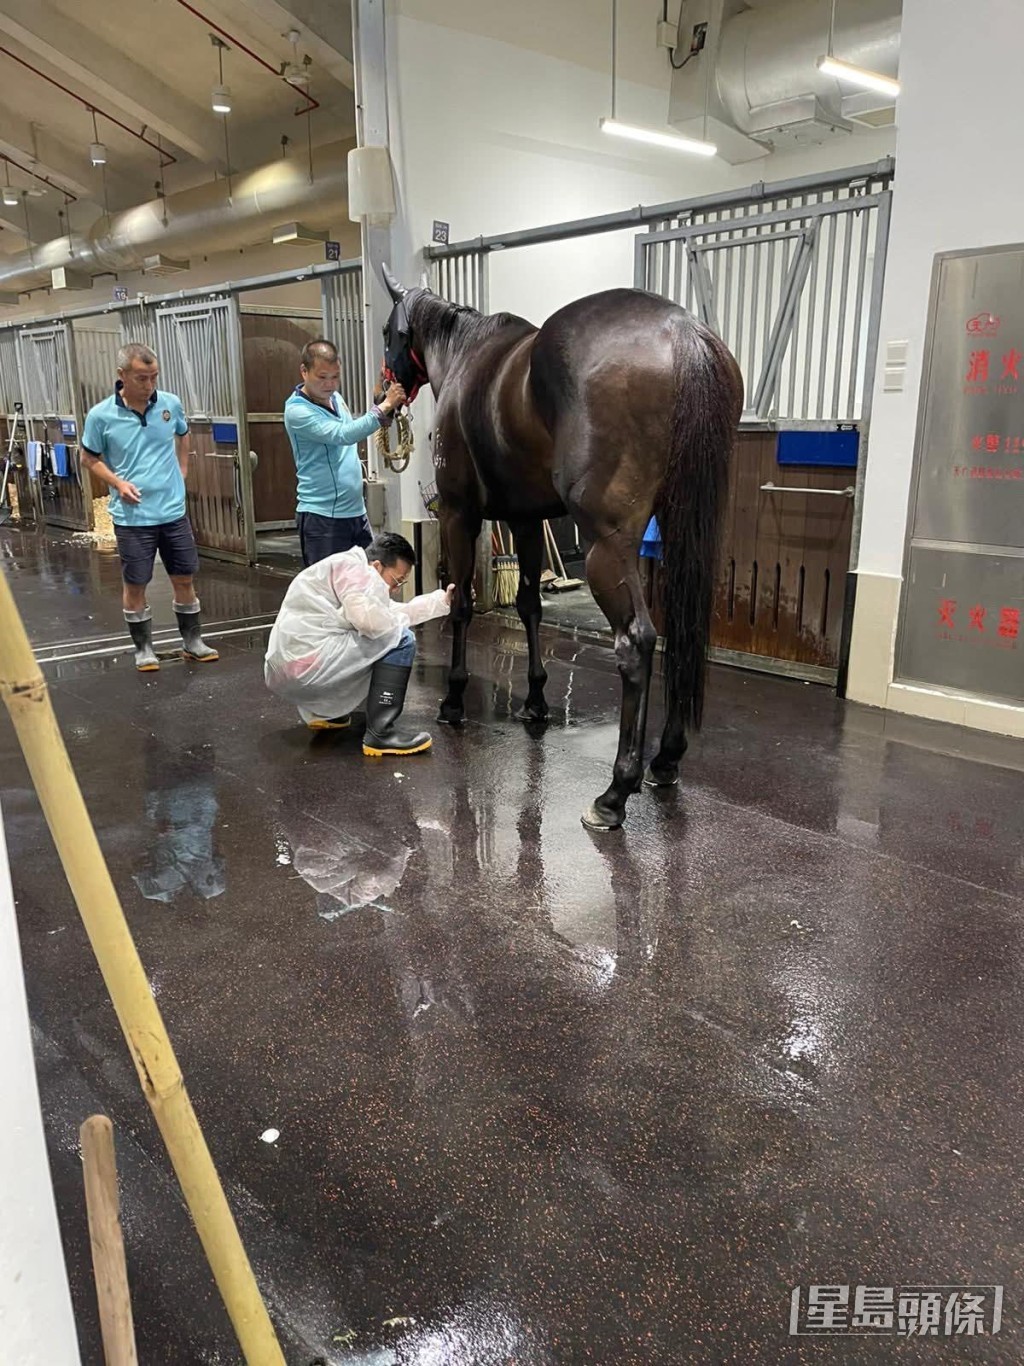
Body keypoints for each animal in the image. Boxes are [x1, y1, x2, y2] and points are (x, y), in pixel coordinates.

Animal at [380, 267, 744, 832]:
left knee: (637, 641)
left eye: (387, 332)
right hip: (679, 533)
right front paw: (534, 701)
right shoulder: (526, 520)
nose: (387, 387)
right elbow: (529, 604)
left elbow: (460, 603)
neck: (464, 355)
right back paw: (665, 760)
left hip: (608, 547)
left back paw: (615, 792)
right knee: (680, 631)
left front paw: (454, 700)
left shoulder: (460, 515)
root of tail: (682, 332)